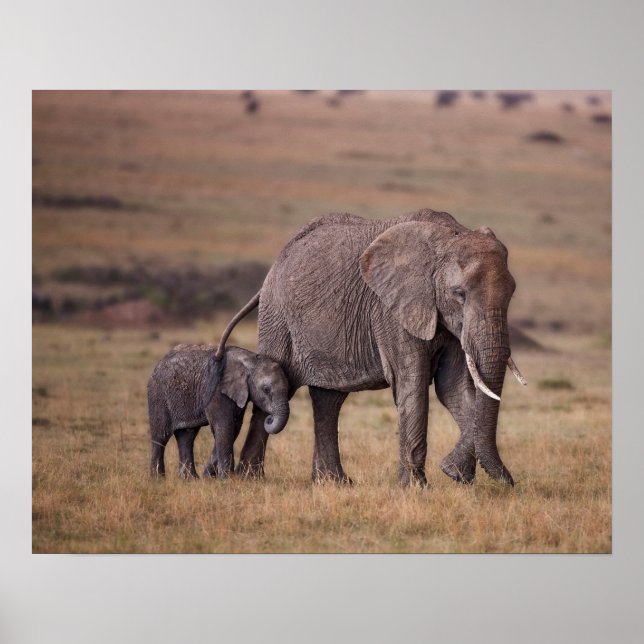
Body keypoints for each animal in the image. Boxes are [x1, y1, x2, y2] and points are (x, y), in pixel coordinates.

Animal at [147, 344, 290, 479]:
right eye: (266, 389)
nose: (269, 418)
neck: (250, 361)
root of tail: (158, 363)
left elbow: (234, 428)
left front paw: (212, 476)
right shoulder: (216, 390)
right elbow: (225, 426)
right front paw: (225, 479)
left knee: (187, 436)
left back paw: (190, 479)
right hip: (158, 395)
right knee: (161, 436)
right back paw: (158, 479)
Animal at [216, 208, 526, 487]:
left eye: (512, 293)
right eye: (459, 294)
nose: (510, 484)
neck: (449, 236)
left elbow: (453, 389)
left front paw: (458, 475)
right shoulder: (391, 311)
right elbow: (412, 384)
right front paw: (416, 488)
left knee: (329, 400)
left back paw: (333, 483)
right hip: (277, 317)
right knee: (276, 382)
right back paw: (250, 478)